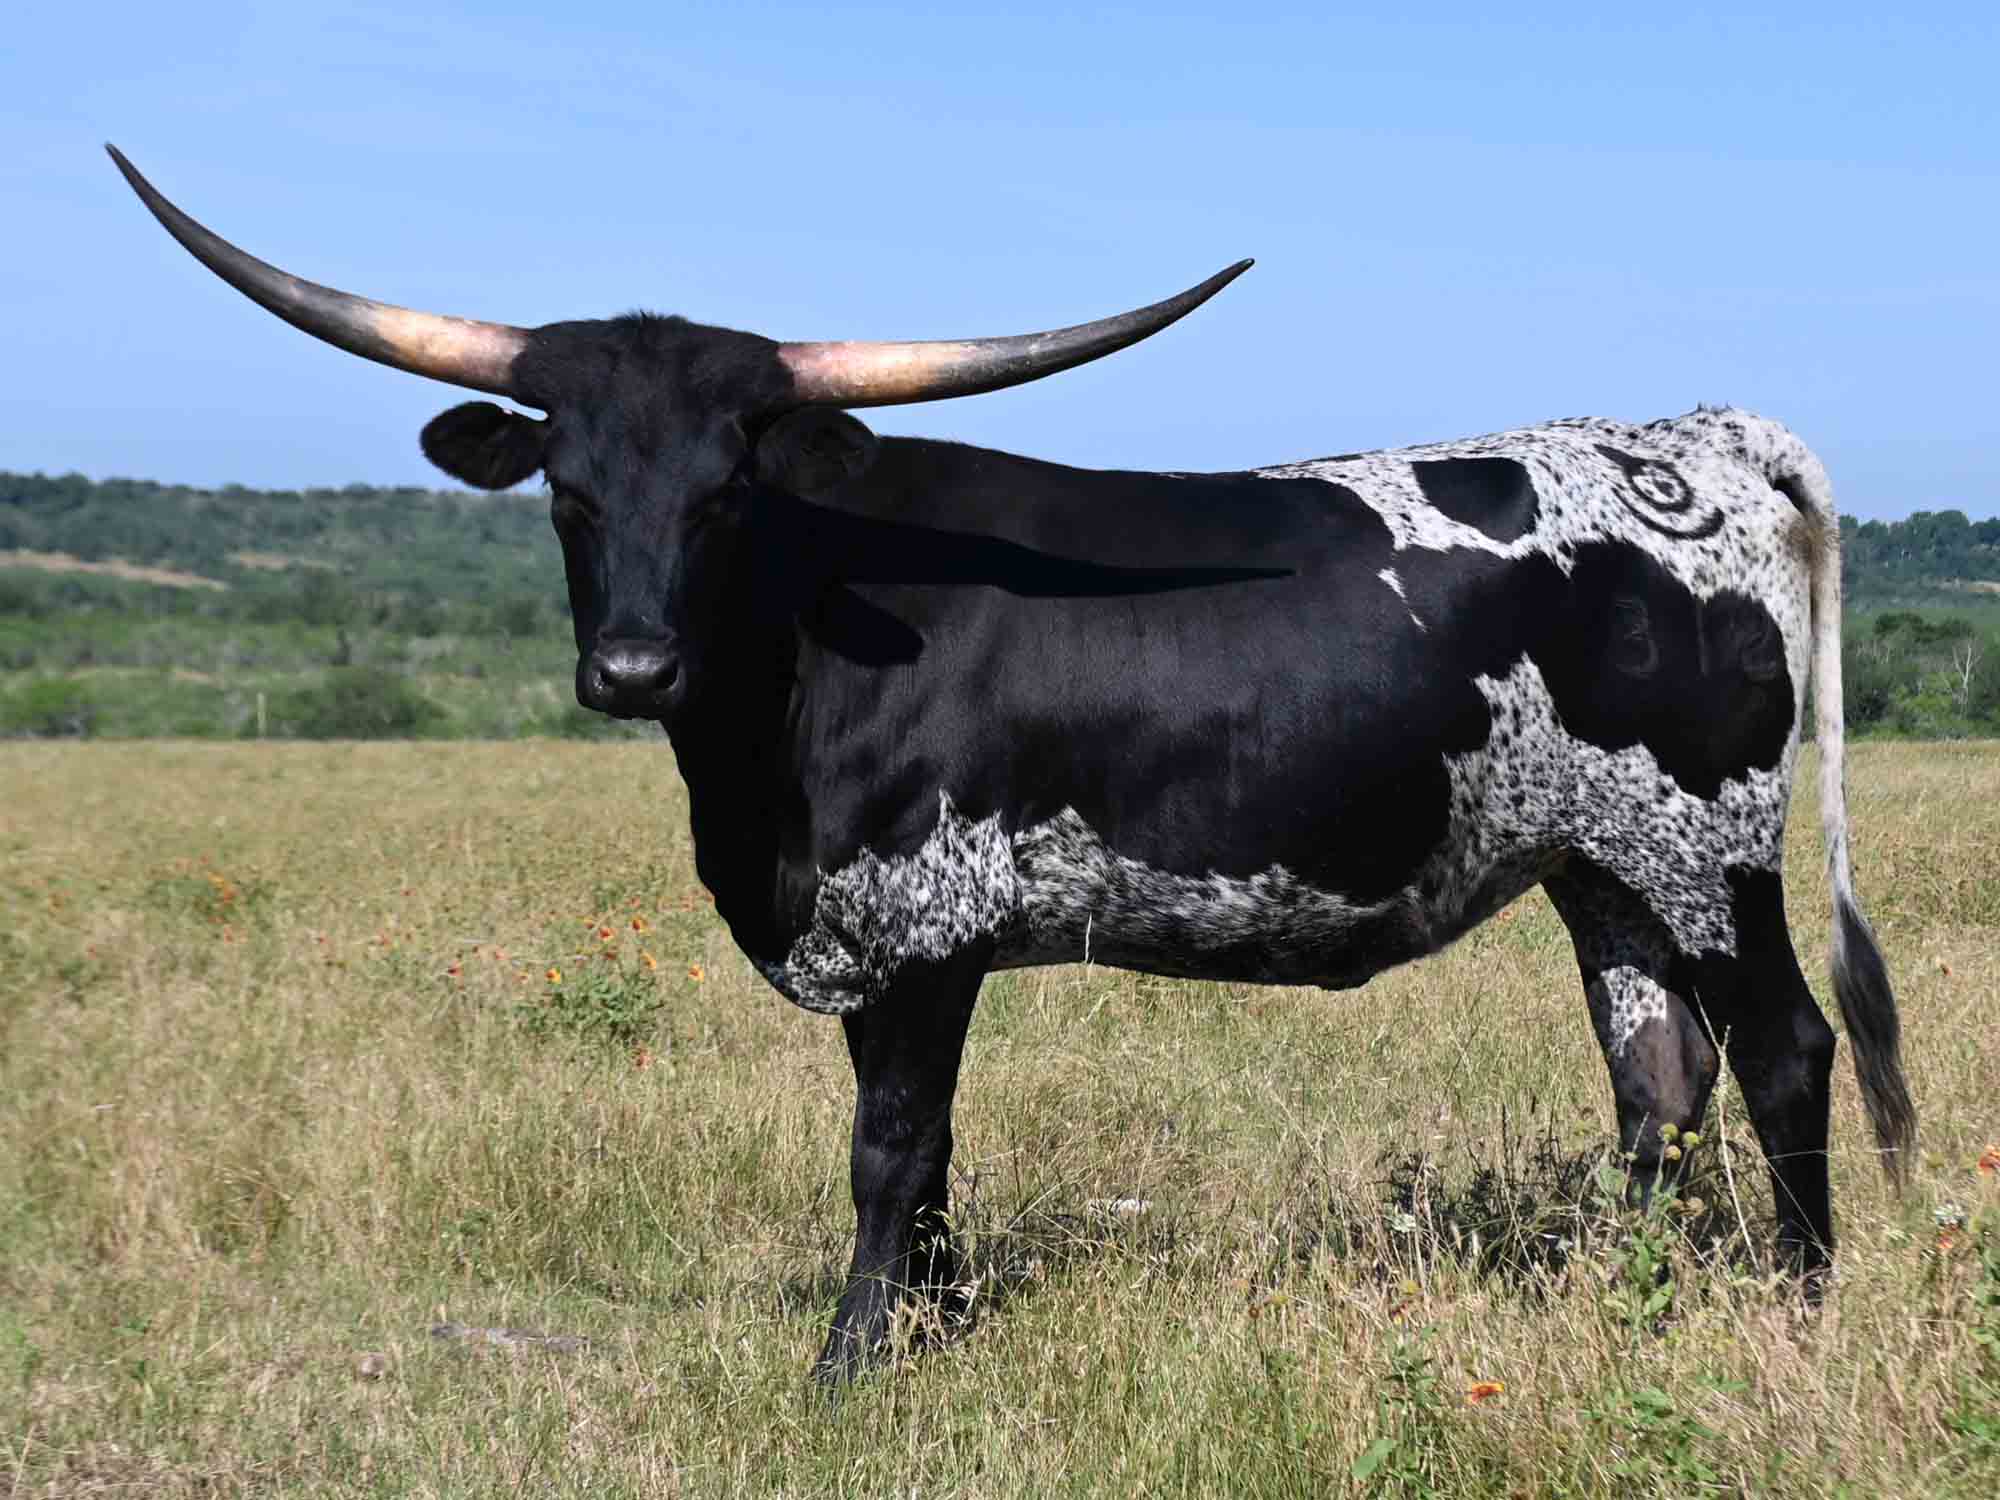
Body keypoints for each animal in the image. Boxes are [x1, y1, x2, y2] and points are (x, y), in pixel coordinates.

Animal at [110, 146, 1914, 1382]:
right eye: (566, 486)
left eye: (728, 486)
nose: (629, 669)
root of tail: (1696, 440)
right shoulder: (877, 929)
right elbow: (921, 1158)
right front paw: (931, 1324)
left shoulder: (926, 925)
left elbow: (892, 1148)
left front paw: (849, 1367)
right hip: (1600, 866)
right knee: (1657, 1082)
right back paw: (1639, 1306)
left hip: (1709, 848)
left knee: (1786, 1054)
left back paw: (1808, 1309)